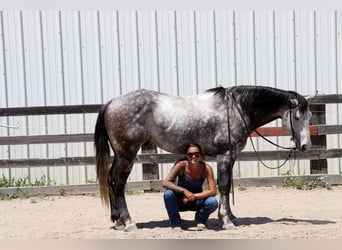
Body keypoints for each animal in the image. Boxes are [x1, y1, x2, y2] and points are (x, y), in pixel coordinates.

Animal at [94, 85, 312, 230]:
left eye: (309, 116)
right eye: (297, 117)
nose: (305, 146)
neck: (236, 109)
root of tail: (112, 102)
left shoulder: (231, 156)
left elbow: (227, 186)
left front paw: (230, 216)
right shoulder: (225, 155)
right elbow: (224, 185)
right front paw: (226, 221)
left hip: (120, 155)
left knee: (111, 180)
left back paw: (117, 220)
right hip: (127, 155)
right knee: (119, 184)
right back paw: (128, 222)